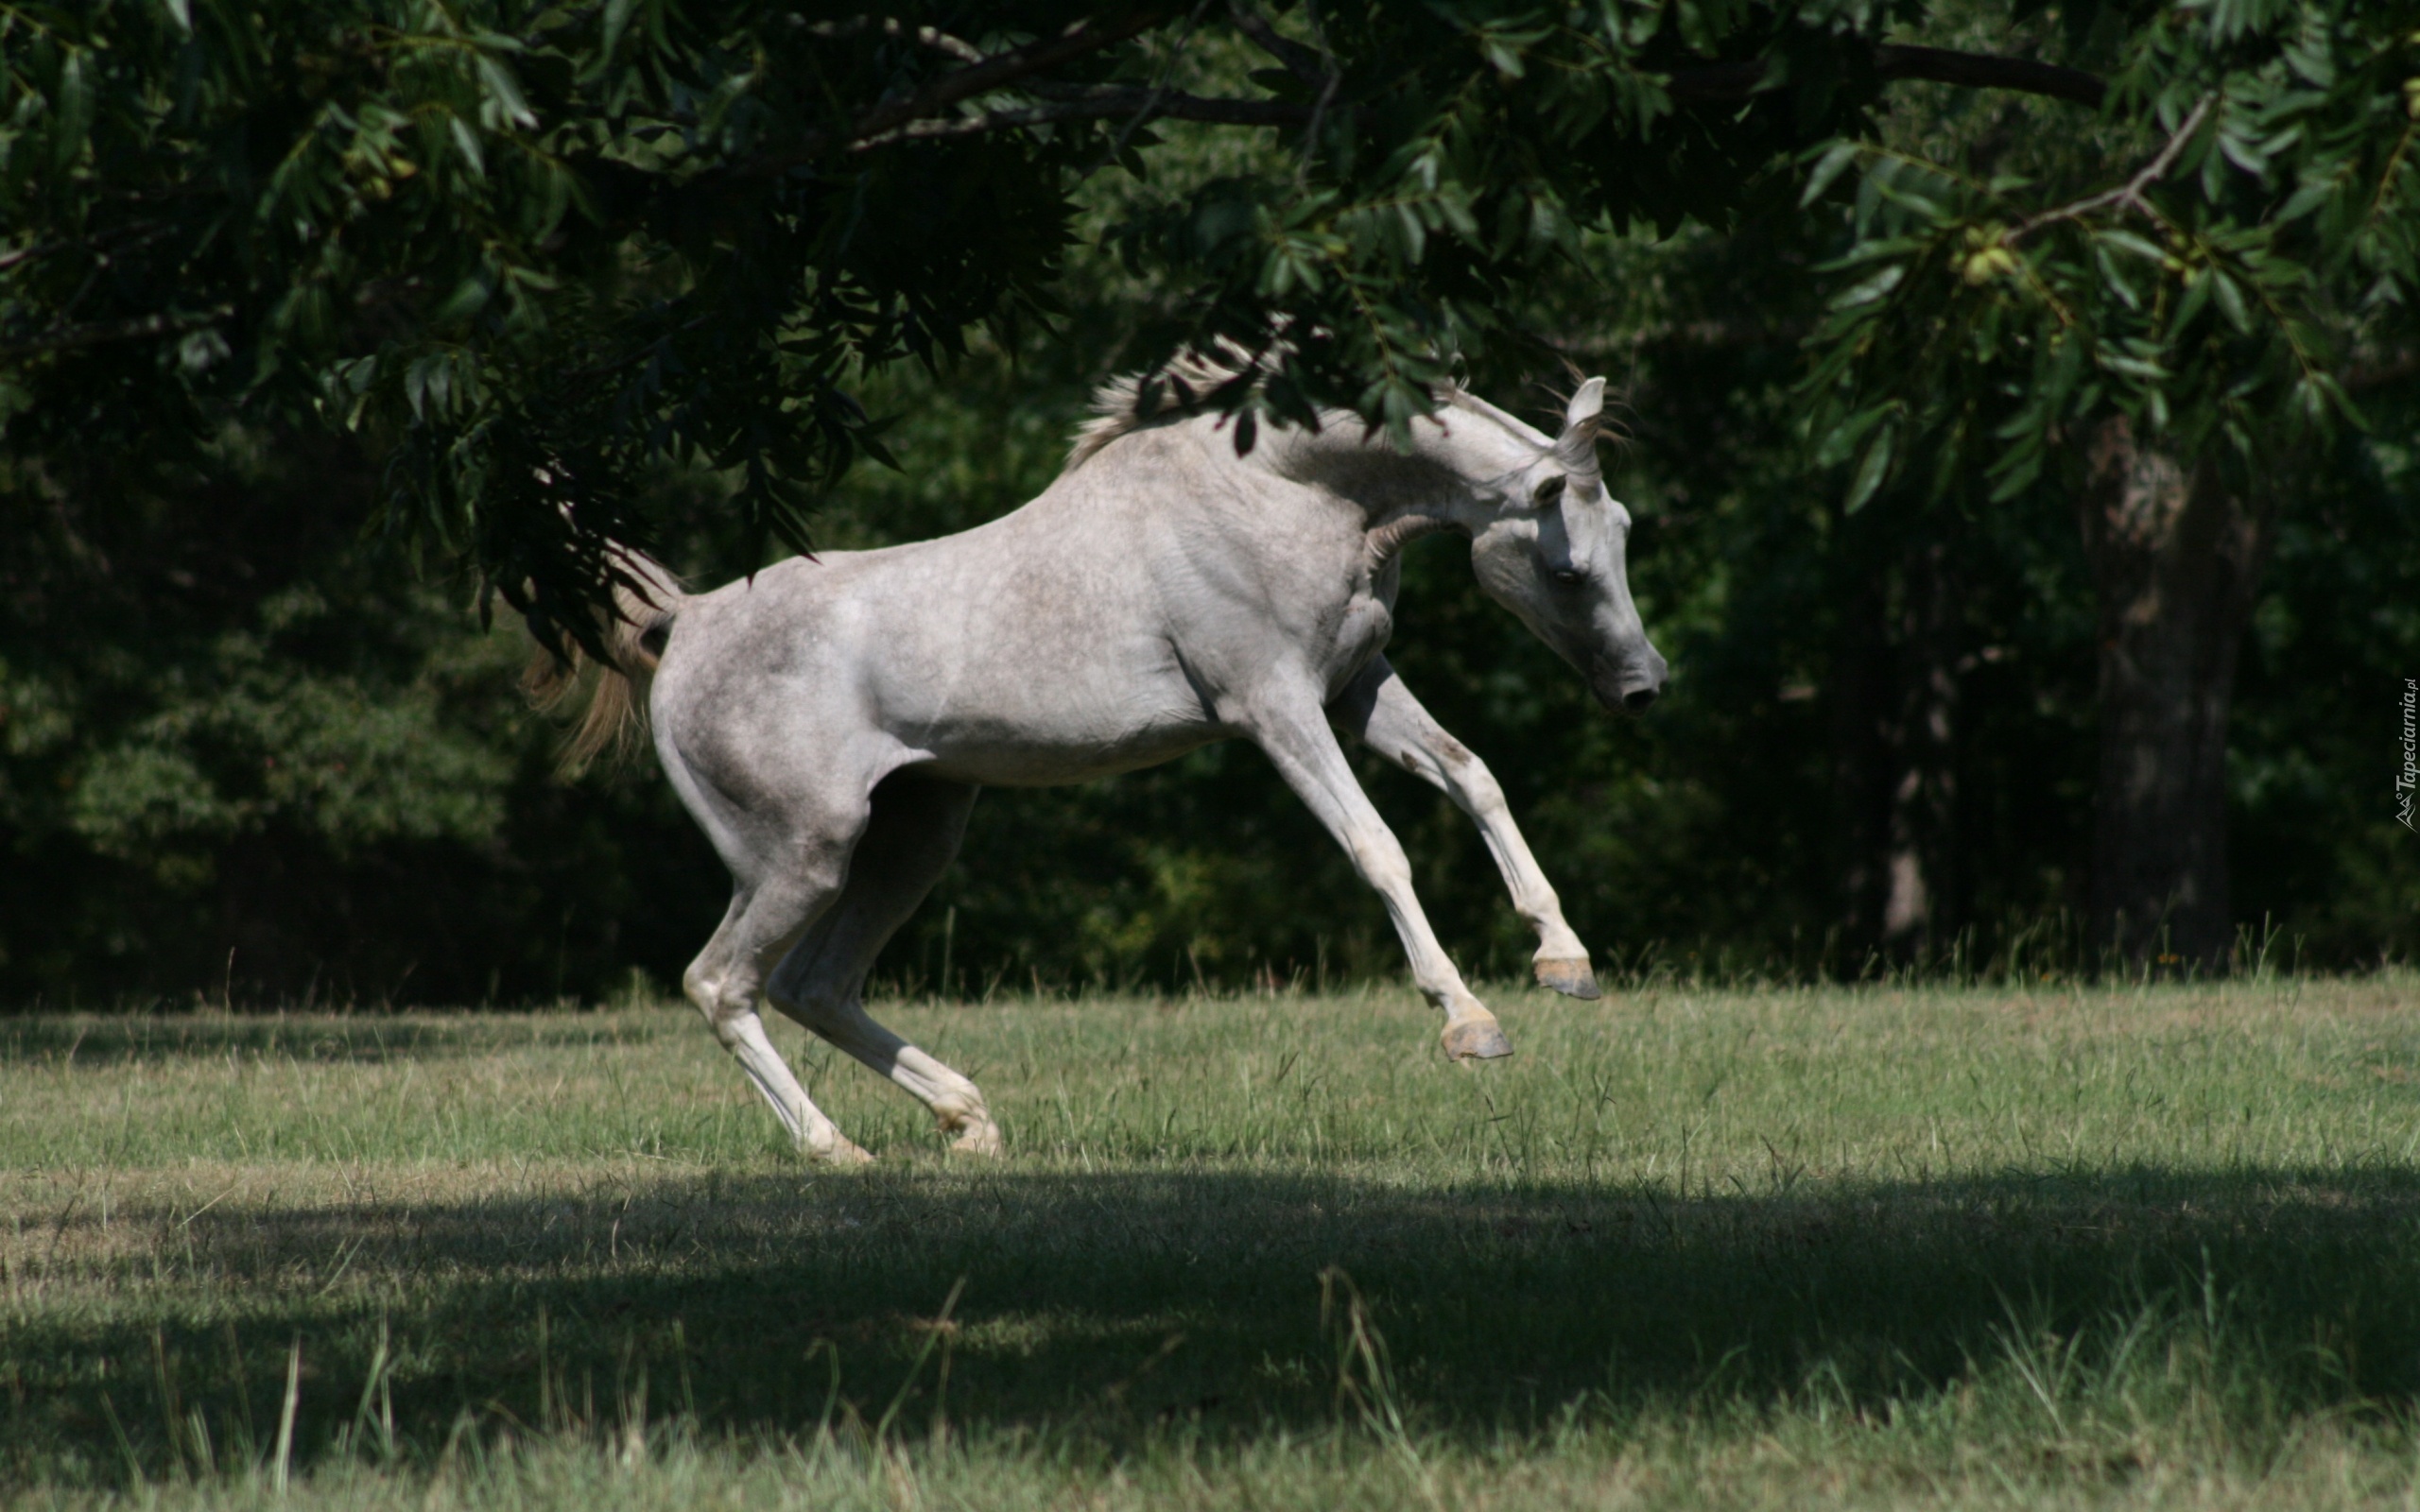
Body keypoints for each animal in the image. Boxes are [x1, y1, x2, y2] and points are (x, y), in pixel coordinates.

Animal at [549, 363, 1665, 1156]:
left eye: (1621, 528)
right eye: (1568, 567)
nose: (1643, 687)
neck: (1282, 493)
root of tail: (687, 622)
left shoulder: (1355, 685)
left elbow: (1474, 776)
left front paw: (1564, 960)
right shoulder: (1275, 707)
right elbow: (1377, 848)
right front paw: (1470, 1021)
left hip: (914, 839)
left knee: (812, 986)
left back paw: (969, 1121)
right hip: (801, 855)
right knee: (719, 983)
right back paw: (836, 1149)